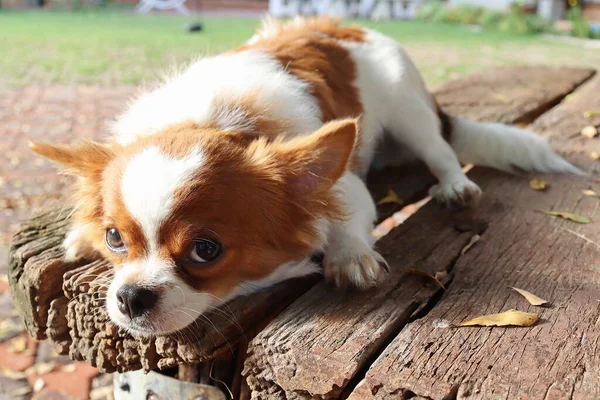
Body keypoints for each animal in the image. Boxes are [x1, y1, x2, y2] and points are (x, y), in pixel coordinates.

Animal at [29, 16, 580, 334]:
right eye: (115, 238)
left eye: (206, 250)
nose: (130, 296)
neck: (210, 120)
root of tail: (353, 26)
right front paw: (78, 235)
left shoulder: (346, 186)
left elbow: (346, 219)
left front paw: (349, 255)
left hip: (409, 110)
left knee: (439, 148)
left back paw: (454, 185)